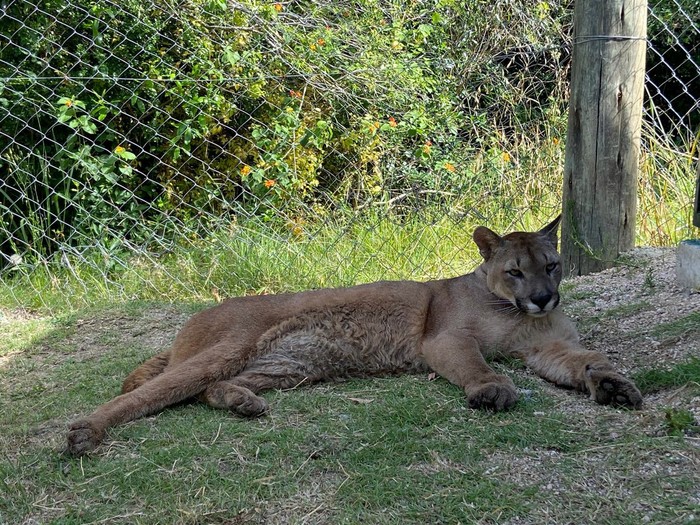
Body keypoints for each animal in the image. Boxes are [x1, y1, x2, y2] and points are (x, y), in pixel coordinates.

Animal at [68, 217, 644, 454]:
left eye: (552, 265)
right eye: (516, 272)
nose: (544, 297)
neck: (518, 314)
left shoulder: (548, 346)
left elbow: (586, 358)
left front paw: (612, 384)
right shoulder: (445, 340)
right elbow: (479, 364)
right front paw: (492, 389)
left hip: (289, 364)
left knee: (210, 387)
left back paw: (241, 403)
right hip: (229, 346)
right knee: (146, 393)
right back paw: (84, 433)